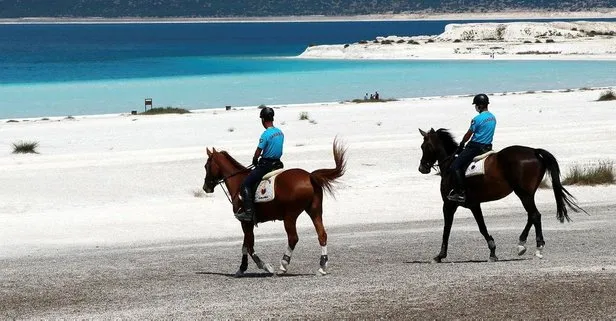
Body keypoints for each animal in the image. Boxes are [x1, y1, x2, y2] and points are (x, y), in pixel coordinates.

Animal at [202, 138, 346, 276]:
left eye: (206, 166)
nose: (206, 187)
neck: (238, 182)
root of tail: (309, 176)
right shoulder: (247, 223)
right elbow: (245, 246)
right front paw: (242, 268)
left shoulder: (245, 221)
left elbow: (249, 246)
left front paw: (265, 266)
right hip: (314, 211)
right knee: (322, 235)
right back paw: (322, 267)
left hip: (290, 216)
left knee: (293, 238)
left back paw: (283, 265)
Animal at [416, 127, 584, 262]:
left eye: (424, 146)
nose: (422, 168)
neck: (450, 165)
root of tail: (534, 151)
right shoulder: (473, 204)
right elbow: (482, 227)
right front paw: (492, 252)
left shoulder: (449, 204)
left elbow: (447, 229)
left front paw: (439, 256)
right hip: (526, 194)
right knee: (532, 215)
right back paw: (522, 244)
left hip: (523, 193)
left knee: (535, 215)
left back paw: (536, 248)